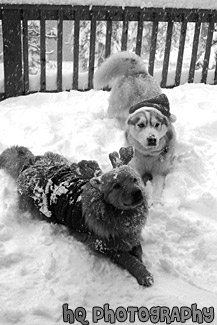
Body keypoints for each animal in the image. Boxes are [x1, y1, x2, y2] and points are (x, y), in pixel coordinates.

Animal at [0, 146, 153, 284]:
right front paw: (142, 272)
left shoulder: (131, 233)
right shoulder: (100, 244)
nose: (138, 192)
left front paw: (140, 260)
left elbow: (138, 248)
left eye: (134, 179)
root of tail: (31, 163)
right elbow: (127, 258)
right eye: (116, 186)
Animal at [94, 51, 176, 197]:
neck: (148, 156)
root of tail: (136, 72)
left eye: (157, 124)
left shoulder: (160, 173)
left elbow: (157, 190)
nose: (152, 138)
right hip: (115, 106)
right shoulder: (136, 168)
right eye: (141, 125)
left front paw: (154, 201)